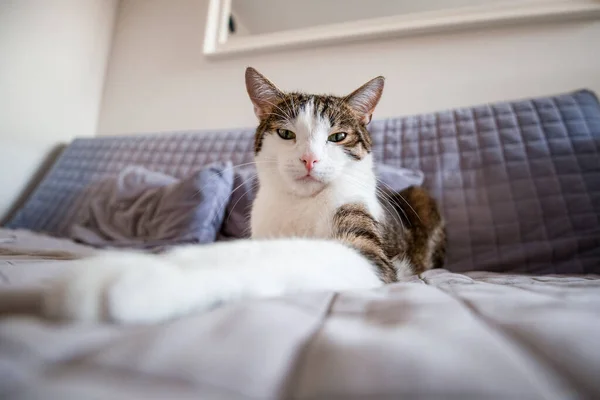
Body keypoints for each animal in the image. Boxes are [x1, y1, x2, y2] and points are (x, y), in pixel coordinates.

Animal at [43, 68, 446, 324]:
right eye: (286, 134)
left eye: (338, 137)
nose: (309, 159)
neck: (299, 204)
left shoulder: (370, 253)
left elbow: (293, 256)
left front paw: (144, 280)